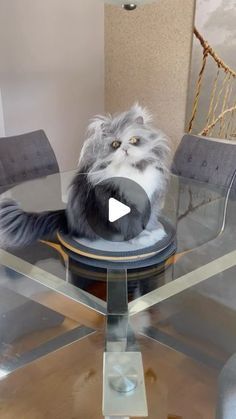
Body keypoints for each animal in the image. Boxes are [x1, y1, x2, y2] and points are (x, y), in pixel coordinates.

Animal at [0, 105, 170, 249]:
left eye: (134, 140)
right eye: (115, 144)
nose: (125, 149)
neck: (131, 170)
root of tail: (66, 218)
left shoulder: (150, 200)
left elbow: (149, 220)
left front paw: (153, 232)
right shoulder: (119, 204)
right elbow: (131, 225)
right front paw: (143, 238)